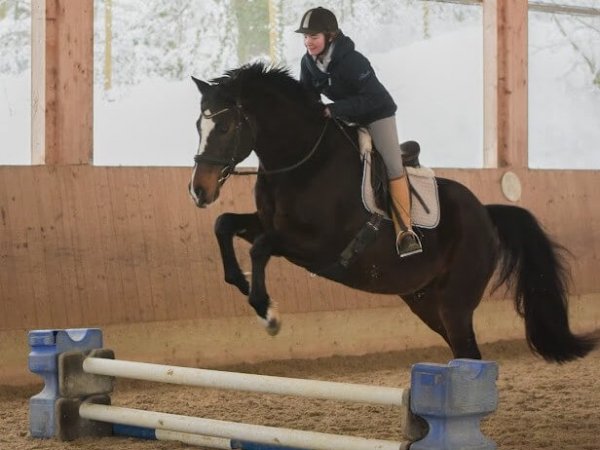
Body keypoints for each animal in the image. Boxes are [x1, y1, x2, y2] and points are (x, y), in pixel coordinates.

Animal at [189, 61, 596, 364]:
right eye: (198, 125)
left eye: (225, 127)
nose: (199, 190)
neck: (303, 160)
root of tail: (486, 213)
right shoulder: (269, 224)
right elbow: (224, 224)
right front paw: (242, 283)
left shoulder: (317, 245)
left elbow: (260, 247)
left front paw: (267, 312)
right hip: (424, 301)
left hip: (455, 301)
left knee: (470, 354)